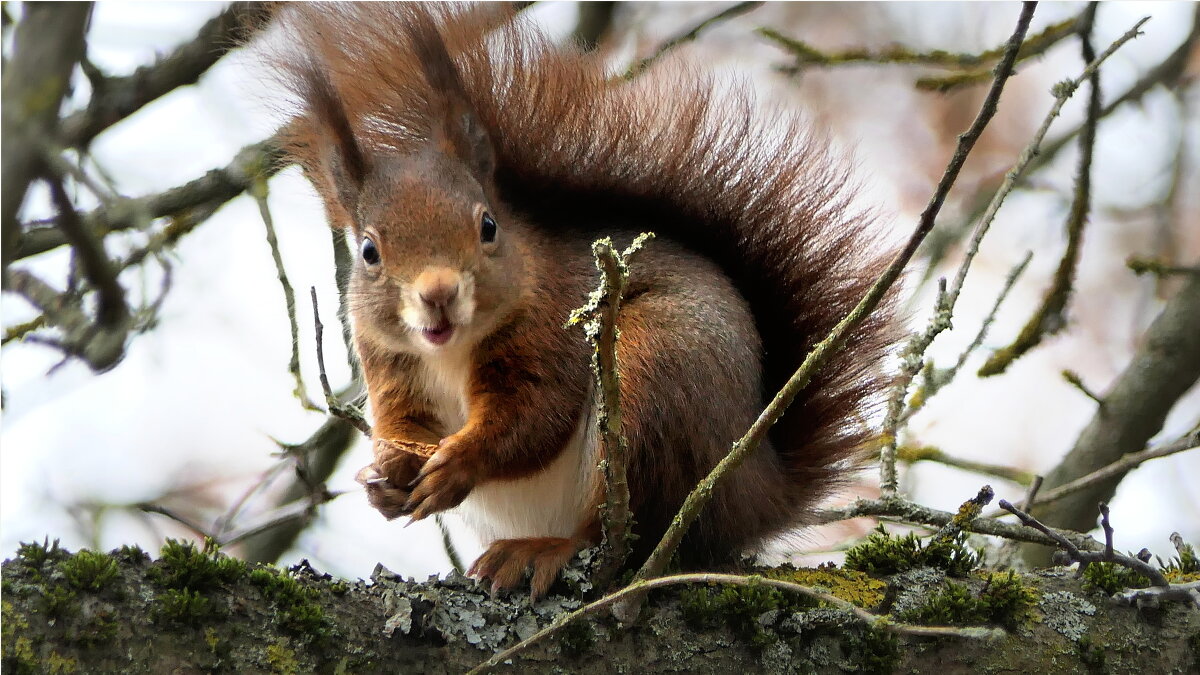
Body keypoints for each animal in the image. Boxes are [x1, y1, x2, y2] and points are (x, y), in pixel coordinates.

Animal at [262, 4, 898, 599]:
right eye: (369, 250)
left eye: (489, 226)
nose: (438, 293)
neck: (451, 351)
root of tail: (760, 491)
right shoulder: (390, 363)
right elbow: (404, 423)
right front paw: (386, 474)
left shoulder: (551, 329)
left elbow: (534, 419)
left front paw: (459, 464)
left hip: (658, 377)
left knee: (623, 533)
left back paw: (544, 550)